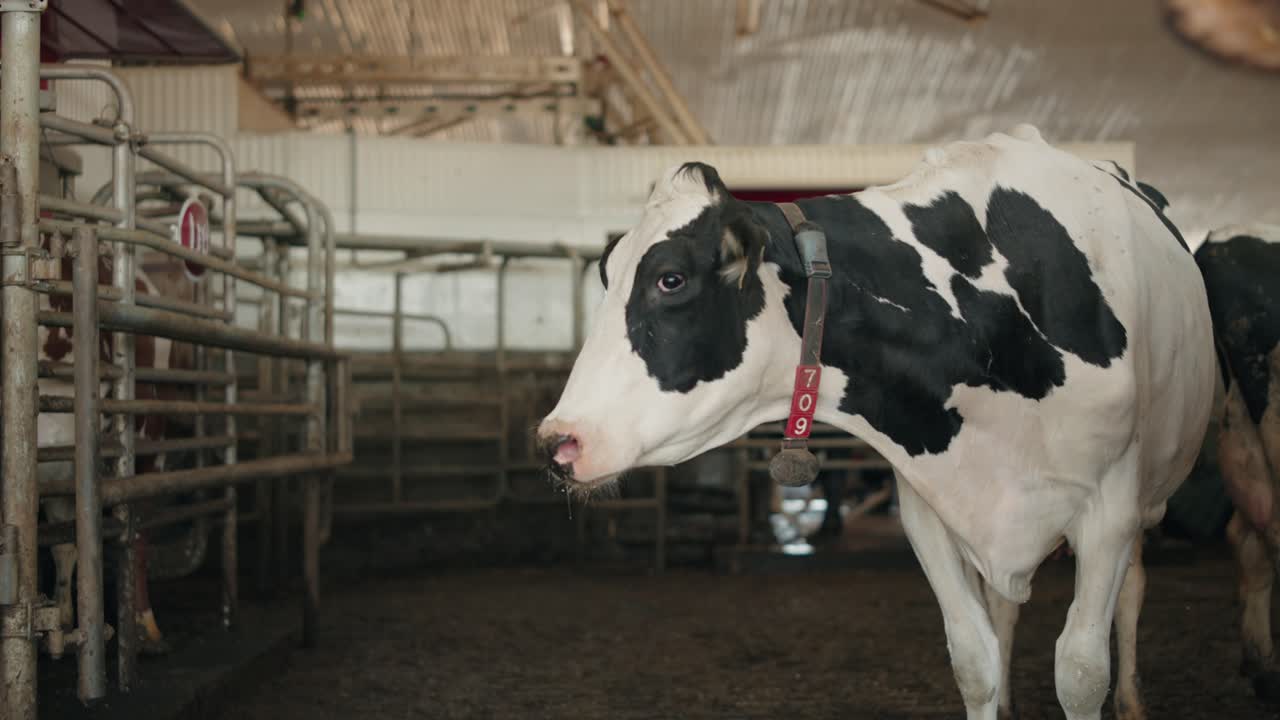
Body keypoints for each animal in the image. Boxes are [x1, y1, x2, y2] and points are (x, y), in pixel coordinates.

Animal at [536, 125, 1214, 720]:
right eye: (609, 276)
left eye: (670, 279)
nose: (556, 441)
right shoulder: (931, 507)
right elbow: (975, 660)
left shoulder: (1108, 509)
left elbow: (1080, 671)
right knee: (1005, 608)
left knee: (1132, 592)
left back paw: (1132, 700)